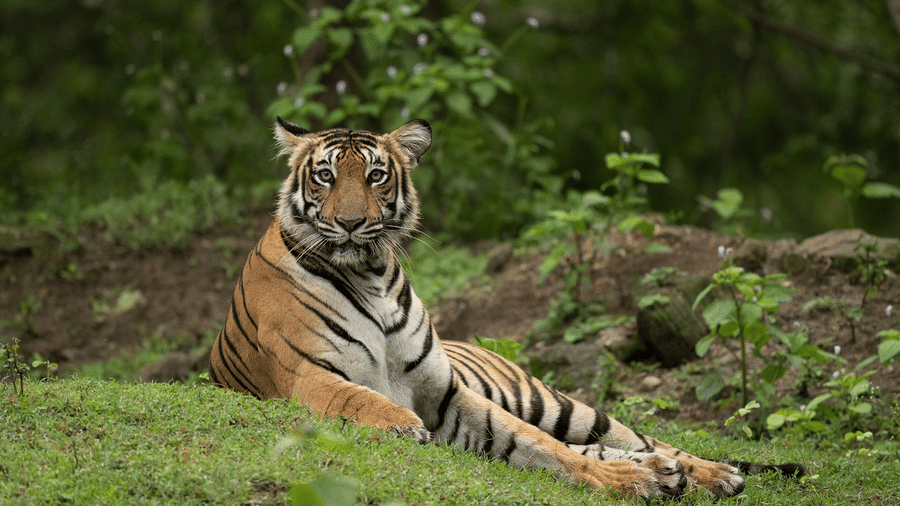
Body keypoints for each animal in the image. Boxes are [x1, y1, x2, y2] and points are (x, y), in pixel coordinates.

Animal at [209, 118, 802, 498]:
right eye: (326, 175)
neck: (370, 276)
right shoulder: (307, 374)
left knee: (636, 439)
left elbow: (538, 445)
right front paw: (401, 424)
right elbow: (359, 398)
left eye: (375, 175)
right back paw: (665, 472)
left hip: (565, 405)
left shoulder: (449, 394)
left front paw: (633, 482)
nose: (352, 223)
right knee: (618, 448)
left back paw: (709, 472)